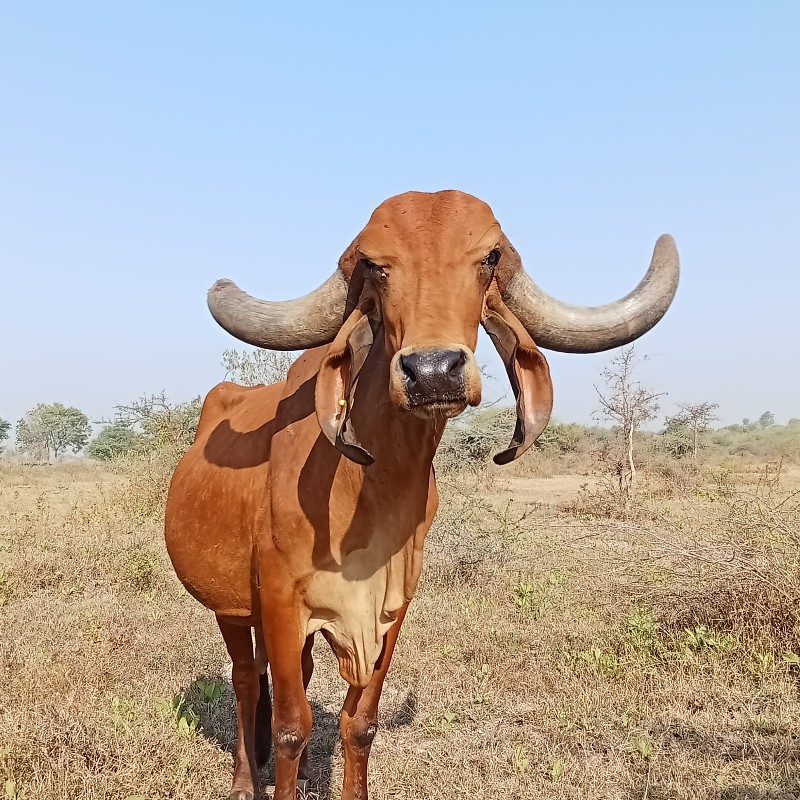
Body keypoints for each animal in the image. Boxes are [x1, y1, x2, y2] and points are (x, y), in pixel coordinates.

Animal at [166, 189, 680, 800]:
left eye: (489, 257)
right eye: (375, 265)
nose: (432, 370)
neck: (365, 491)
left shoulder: (392, 609)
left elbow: (359, 723)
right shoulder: (281, 601)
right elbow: (291, 727)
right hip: (231, 607)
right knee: (247, 679)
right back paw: (246, 779)